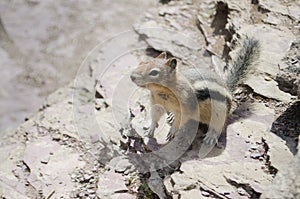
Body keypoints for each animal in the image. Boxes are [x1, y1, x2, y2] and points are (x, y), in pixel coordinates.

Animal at [131, 37, 260, 145]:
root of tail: (227, 88)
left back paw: (210, 137)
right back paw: (171, 116)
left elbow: (181, 119)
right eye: (142, 63)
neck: (163, 92)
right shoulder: (157, 103)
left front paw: (173, 130)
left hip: (220, 112)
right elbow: (155, 116)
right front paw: (150, 129)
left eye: (154, 72)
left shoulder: (186, 107)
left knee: (219, 126)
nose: (132, 76)